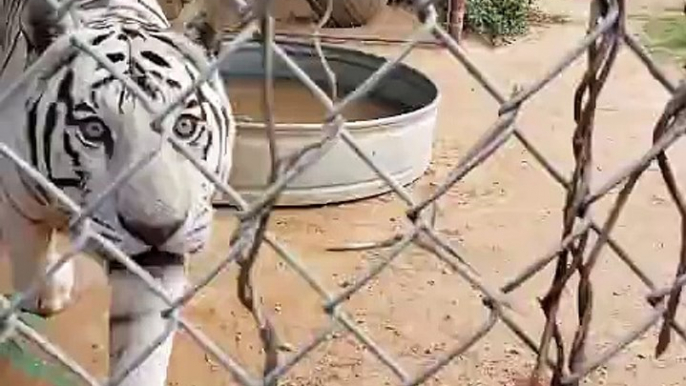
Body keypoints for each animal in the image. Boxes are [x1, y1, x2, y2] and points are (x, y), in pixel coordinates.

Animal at [0, 0, 236, 386]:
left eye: (185, 126)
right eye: (94, 130)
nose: (156, 230)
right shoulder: (17, 199)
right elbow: (31, 257)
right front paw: (47, 294)